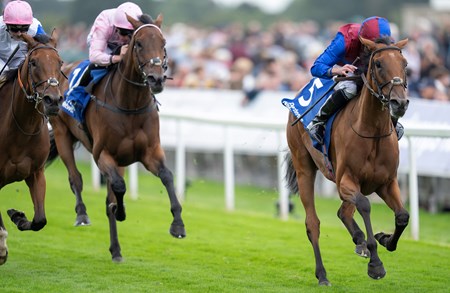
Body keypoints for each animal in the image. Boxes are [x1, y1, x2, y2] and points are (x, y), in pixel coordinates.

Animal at [0, 31, 63, 264]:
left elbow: (40, 220)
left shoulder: (36, 172)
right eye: (34, 62)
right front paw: (2, 246)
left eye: (59, 62)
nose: (53, 100)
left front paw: (18, 216)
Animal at [46, 13, 185, 262]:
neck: (129, 104)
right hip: (62, 134)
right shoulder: (103, 155)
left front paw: (178, 225)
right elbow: (118, 189)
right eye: (138, 44)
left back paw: (116, 250)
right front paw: (120, 211)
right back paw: (82, 214)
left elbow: (167, 176)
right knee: (75, 178)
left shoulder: (150, 153)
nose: (156, 79)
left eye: (164, 43)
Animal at [286, 37, 410, 286]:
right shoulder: (345, 181)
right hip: (304, 166)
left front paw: (384, 239)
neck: (373, 133)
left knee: (343, 212)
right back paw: (323, 274)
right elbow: (364, 204)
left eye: (405, 64)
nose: (399, 103)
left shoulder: (387, 182)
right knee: (313, 223)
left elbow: (403, 216)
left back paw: (359, 240)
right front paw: (375, 264)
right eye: (378, 64)